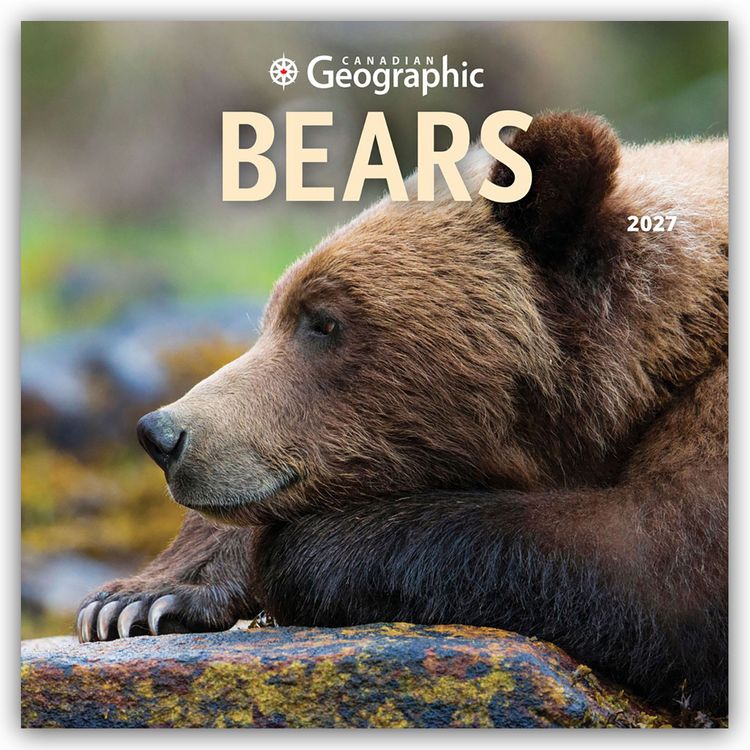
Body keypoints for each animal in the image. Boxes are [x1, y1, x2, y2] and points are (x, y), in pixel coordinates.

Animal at [76, 112, 728, 716]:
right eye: (273, 314)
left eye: (324, 321)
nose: (163, 434)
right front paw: (137, 599)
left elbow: (658, 566)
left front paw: (302, 552)